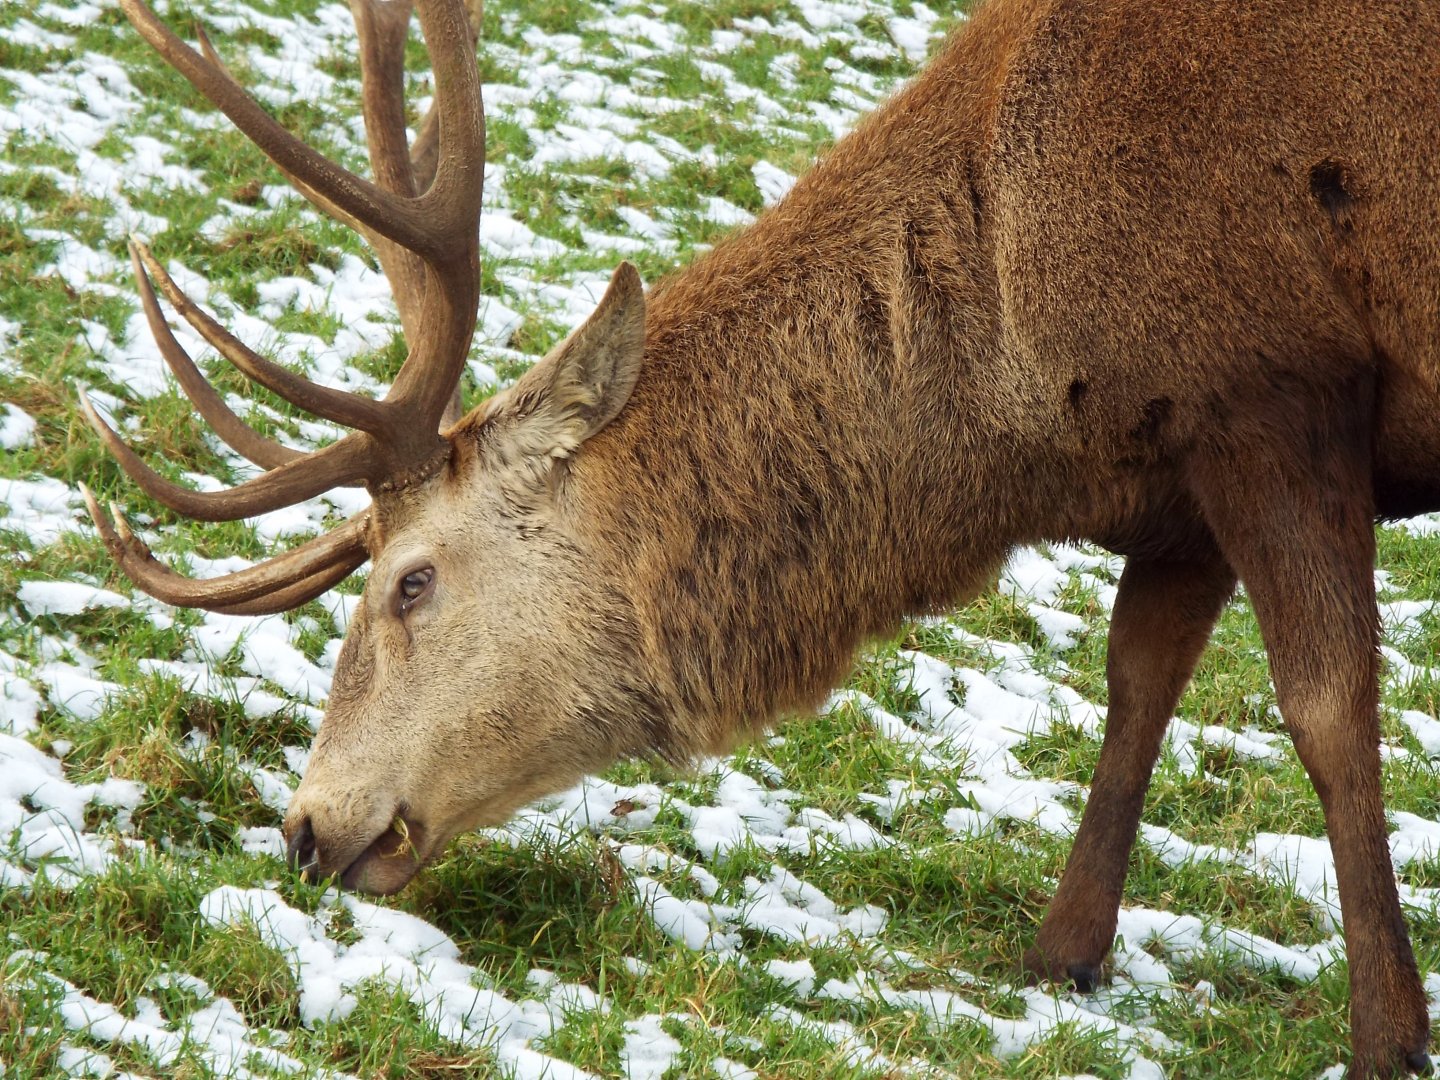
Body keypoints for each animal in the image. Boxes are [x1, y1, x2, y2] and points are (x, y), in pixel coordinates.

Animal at [79, 0, 1440, 1073]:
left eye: (412, 583)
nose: (307, 828)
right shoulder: (1175, 465)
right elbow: (1138, 682)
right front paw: (1061, 958)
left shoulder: (1271, 391)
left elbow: (1329, 705)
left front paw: (1388, 1033)